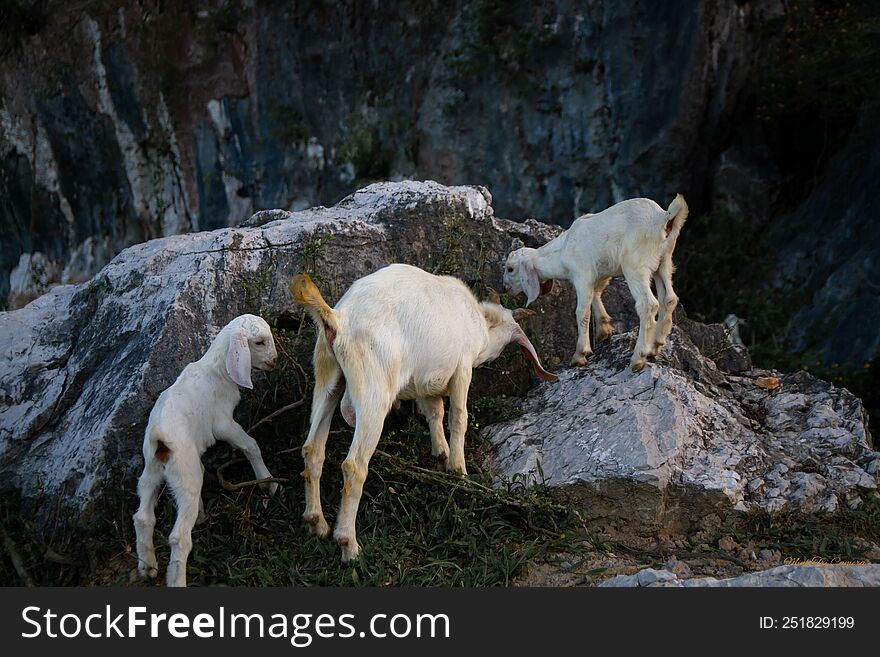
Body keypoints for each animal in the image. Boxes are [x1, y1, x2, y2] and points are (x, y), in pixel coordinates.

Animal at [296, 264, 556, 560]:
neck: (477, 321)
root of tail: (338, 319)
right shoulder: (462, 366)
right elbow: (458, 416)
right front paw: (458, 469)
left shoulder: (426, 380)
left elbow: (435, 411)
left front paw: (441, 454)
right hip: (373, 390)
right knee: (354, 465)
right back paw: (348, 544)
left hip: (327, 376)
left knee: (312, 449)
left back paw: (317, 523)